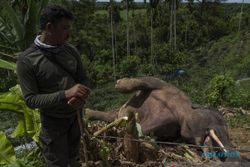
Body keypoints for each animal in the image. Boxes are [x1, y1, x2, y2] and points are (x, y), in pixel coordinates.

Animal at [86, 76, 234, 159]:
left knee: (111, 117)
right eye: (219, 118)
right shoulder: (165, 86)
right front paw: (118, 83)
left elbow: (146, 132)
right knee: (111, 114)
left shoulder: (171, 126)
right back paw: (87, 113)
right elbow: (147, 81)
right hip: (117, 111)